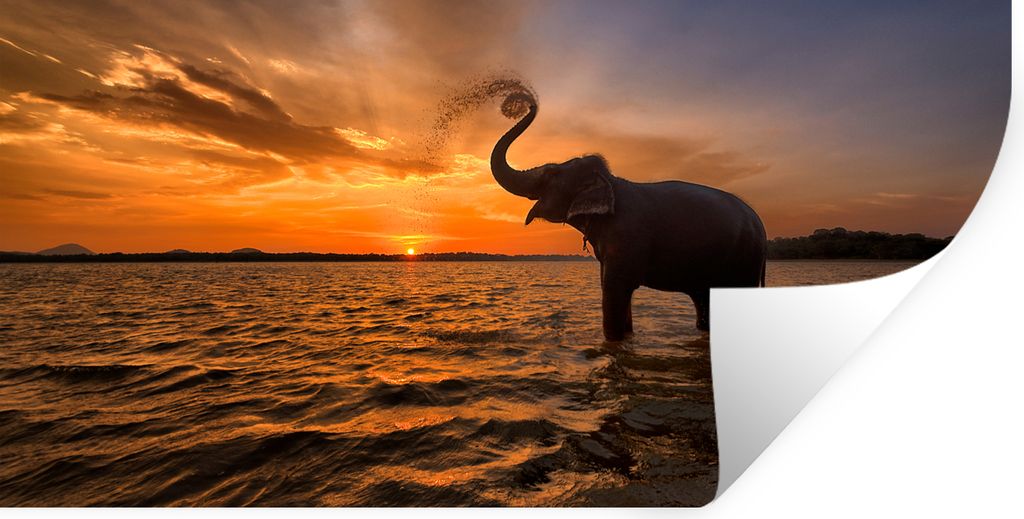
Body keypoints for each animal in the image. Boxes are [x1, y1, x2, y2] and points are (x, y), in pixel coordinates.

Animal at [490, 101, 767, 340]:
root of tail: (760, 224)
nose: (528, 103)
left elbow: (615, 292)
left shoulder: (626, 237)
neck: (612, 182)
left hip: (744, 262)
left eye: (551, 173)